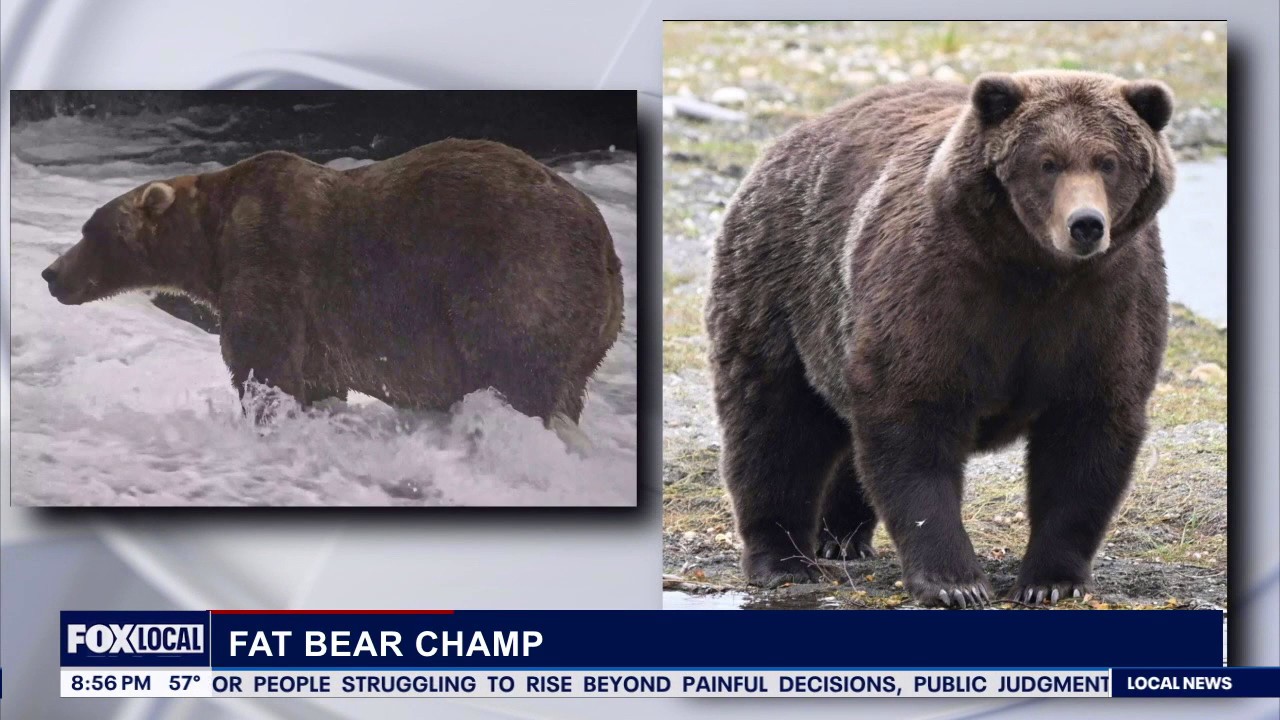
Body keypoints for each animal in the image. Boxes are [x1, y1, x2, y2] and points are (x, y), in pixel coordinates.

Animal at [42, 139, 624, 427]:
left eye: (90, 230)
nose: (51, 274)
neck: (210, 240)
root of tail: (606, 245)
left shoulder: (269, 260)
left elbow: (262, 362)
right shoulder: (319, 327)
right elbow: (317, 378)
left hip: (516, 276)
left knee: (517, 370)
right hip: (591, 326)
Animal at [706, 71, 1175, 607]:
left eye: (1108, 161)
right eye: (1047, 162)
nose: (1086, 225)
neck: (1035, 271)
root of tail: (784, 143)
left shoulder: (1106, 305)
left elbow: (1087, 436)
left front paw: (1050, 580)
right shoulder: (938, 291)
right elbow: (914, 422)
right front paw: (957, 582)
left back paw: (841, 536)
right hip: (781, 290)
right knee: (773, 423)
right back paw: (782, 559)